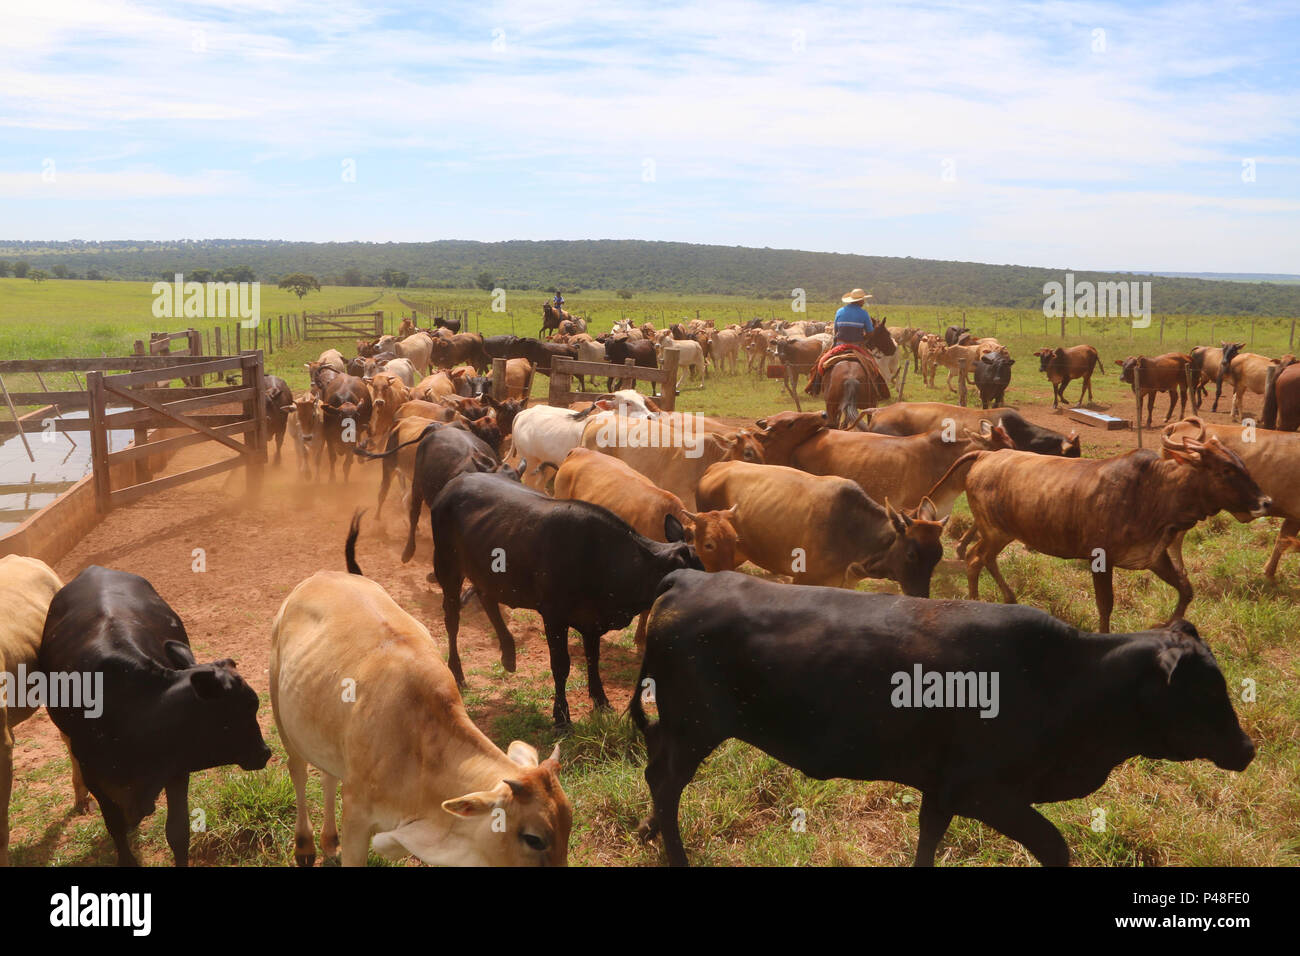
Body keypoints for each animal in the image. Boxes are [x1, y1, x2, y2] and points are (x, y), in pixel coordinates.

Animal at [39, 567, 270, 868]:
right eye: (246, 707)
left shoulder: (177, 768)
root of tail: (96, 569)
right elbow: (115, 827)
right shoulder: (96, 779)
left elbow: (178, 832)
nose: (265, 752)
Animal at [269, 528, 569, 868]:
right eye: (534, 838)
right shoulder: (356, 814)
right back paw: (305, 845)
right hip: (282, 714)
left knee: (328, 776)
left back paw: (329, 841)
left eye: (568, 827)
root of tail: (321, 576)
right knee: (298, 771)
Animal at [428, 470, 702, 723]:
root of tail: (456, 481)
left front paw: (601, 701)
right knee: (452, 618)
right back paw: (458, 673)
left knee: (487, 598)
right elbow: (561, 665)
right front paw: (561, 716)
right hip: (447, 566)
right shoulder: (554, 616)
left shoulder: (592, 620)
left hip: (488, 572)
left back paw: (508, 654)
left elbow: (593, 659)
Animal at [634, 574, 1253, 868]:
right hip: (696, 727)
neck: (1065, 679)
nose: (1247, 748)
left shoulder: (941, 789)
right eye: (1205, 690)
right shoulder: (983, 790)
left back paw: (647, 833)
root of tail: (688, 577)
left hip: (680, 729)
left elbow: (928, 840)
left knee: (655, 774)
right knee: (665, 783)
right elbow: (1054, 846)